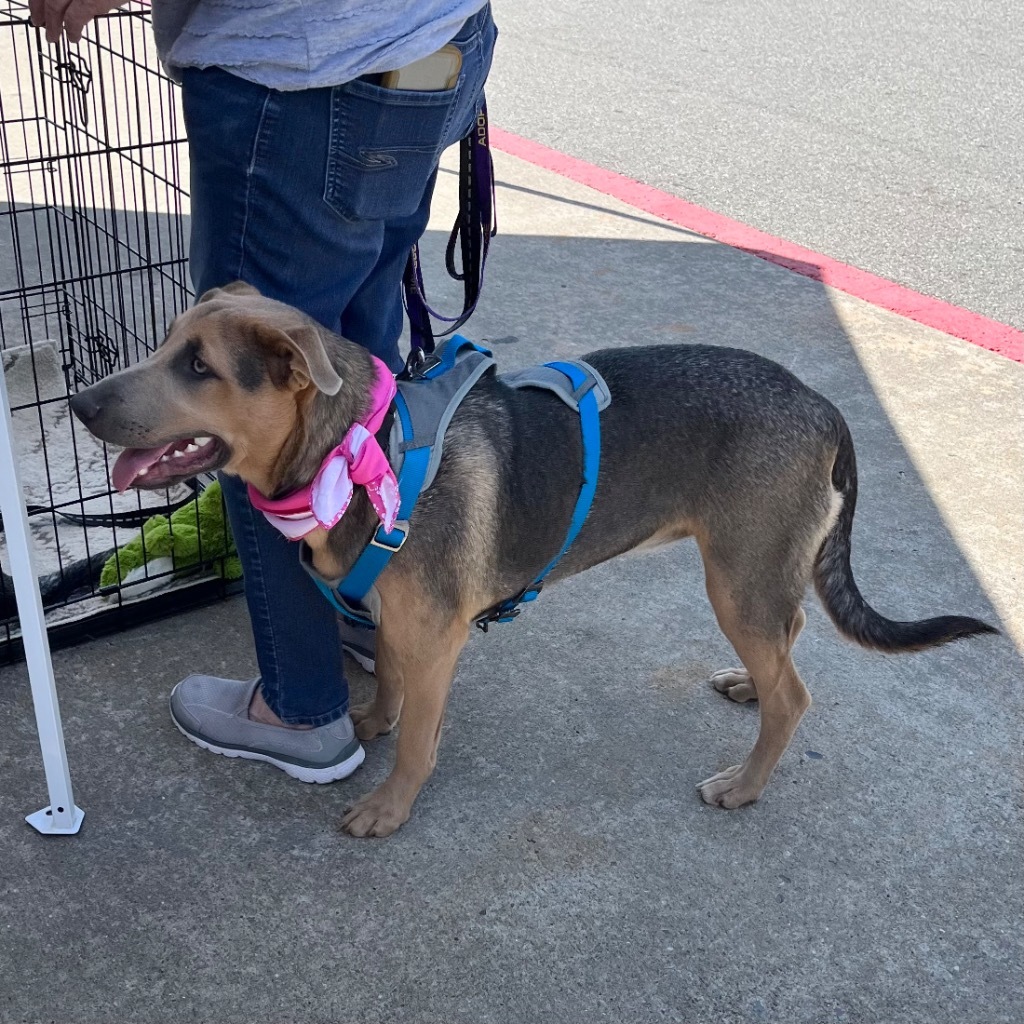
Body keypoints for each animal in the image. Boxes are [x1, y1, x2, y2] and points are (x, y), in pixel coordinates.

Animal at [68, 284, 995, 835]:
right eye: (165, 346)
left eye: (200, 367)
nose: (78, 400)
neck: (366, 446)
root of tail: (824, 403)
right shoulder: (401, 624)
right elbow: (388, 686)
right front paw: (371, 722)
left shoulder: (436, 638)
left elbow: (419, 741)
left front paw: (390, 805)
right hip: (755, 577)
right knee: (786, 645)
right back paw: (747, 686)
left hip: (736, 578)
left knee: (795, 695)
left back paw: (744, 783)